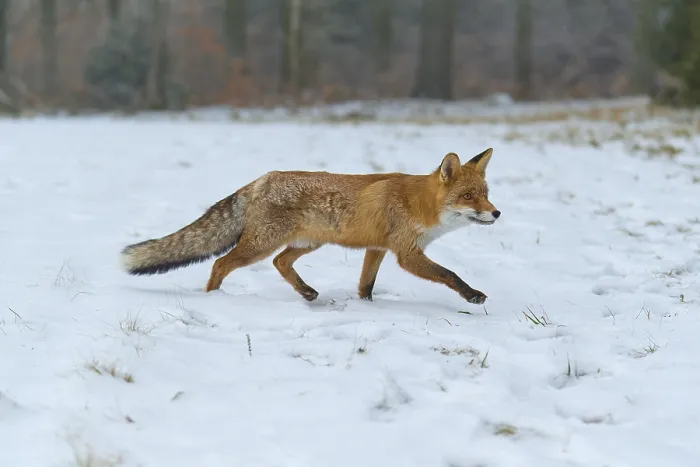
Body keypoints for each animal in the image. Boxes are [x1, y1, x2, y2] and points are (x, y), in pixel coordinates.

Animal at [120, 148, 501, 305]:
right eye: (468, 196)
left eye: (486, 194)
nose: (497, 214)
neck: (420, 203)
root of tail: (263, 179)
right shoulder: (406, 254)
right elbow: (450, 274)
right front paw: (473, 295)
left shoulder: (377, 248)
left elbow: (366, 285)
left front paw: (367, 306)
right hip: (261, 245)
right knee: (220, 263)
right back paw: (213, 299)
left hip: (307, 243)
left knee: (280, 263)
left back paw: (306, 292)